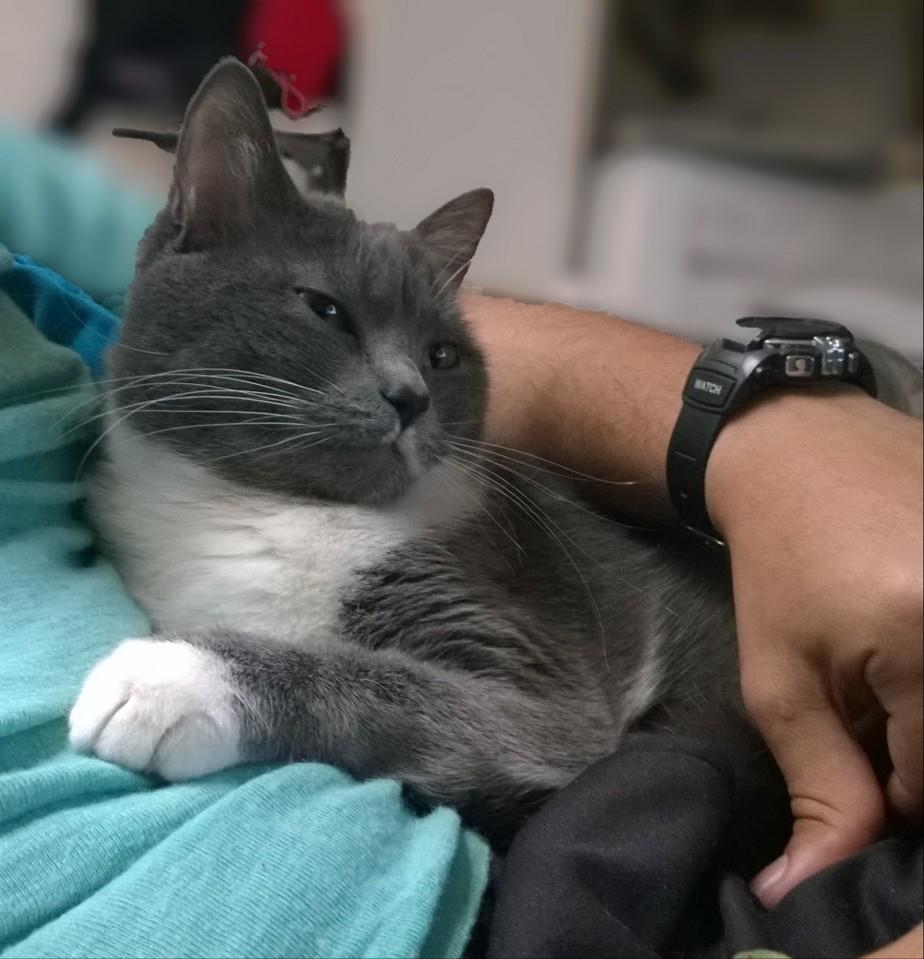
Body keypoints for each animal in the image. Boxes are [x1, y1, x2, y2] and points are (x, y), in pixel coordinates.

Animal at [69, 58, 749, 841]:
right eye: (326, 309)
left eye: (442, 354)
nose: (410, 395)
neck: (253, 505)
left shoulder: (541, 691)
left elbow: (380, 678)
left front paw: (170, 677)